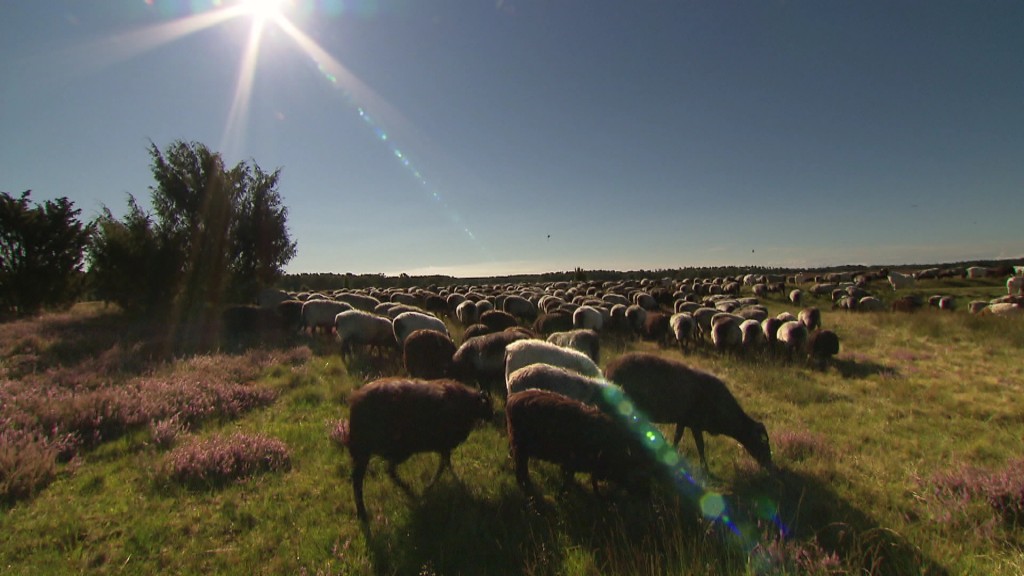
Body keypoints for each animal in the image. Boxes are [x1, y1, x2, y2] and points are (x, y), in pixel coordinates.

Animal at [335, 377, 491, 520]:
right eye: (488, 405)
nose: (492, 415)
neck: (467, 402)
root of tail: (355, 400)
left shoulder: (443, 447)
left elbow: (444, 464)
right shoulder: (444, 444)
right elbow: (444, 466)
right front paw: (439, 486)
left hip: (375, 451)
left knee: (380, 473)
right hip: (388, 450)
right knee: (367, 477)